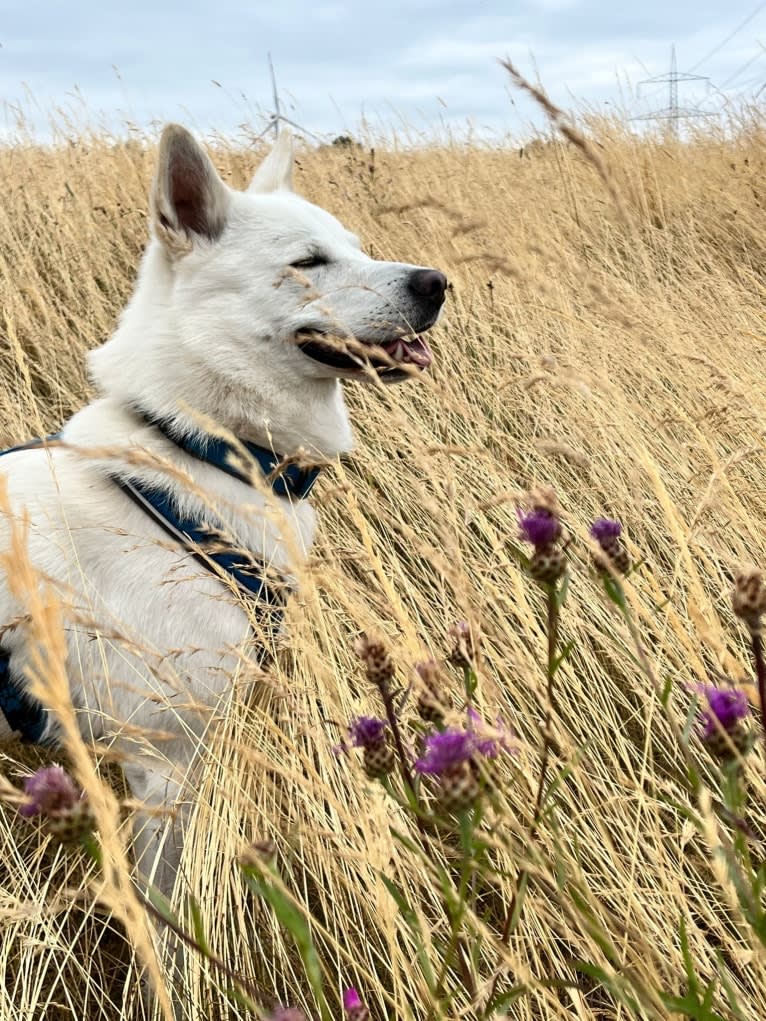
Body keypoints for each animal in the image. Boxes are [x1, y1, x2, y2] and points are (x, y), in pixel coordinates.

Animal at [0, 127, 449, 902]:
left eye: (355, 247)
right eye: (308, 262)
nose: (437, 283)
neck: (197, 450)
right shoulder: (164, 766)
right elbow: (170, 910)